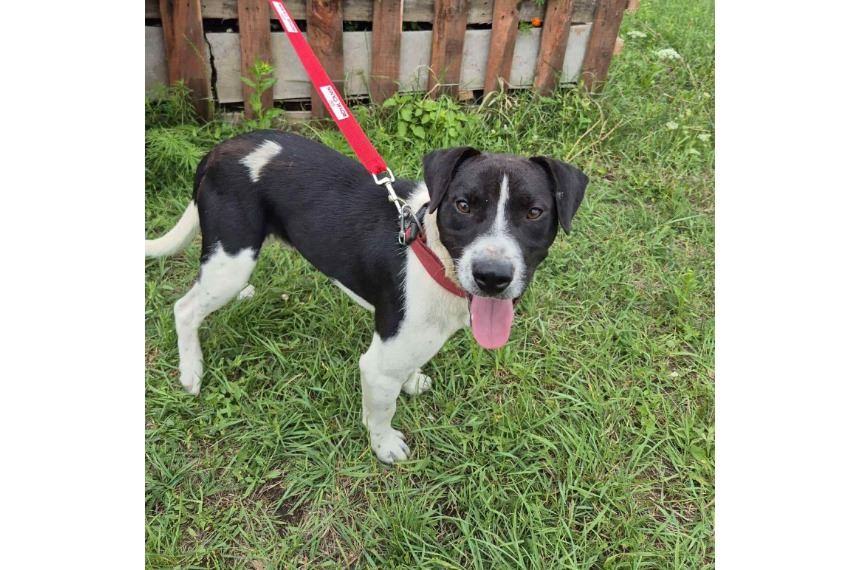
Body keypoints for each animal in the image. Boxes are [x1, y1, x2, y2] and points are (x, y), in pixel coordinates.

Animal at [145, 130, 588, 463]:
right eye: (463, 205)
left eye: (534, 212)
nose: (492, 277)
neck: (433, 254)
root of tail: (219, 149)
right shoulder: (377, 366)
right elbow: (381, 409)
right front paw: (385, 446)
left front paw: (412, 381)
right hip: (232, 257)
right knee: (184, 308)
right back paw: (191, 370)